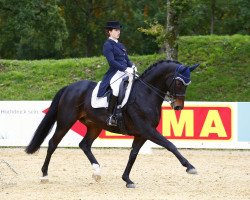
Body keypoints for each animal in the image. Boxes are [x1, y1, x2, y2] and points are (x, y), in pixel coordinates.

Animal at [25, 59, 199, 188]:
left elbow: (133, 154)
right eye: (179, 83)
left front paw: (127, 179)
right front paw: (190, 167)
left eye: (187, 83)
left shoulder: (142, 134)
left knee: (84, 144)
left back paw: (97, 172)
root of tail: (69, 87)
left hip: (94, 126)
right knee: (53, 143)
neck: (146, 93)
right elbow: (170, 145)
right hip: (65, 122)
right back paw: (44, 175)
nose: (178, 107)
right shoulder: (148, 130)